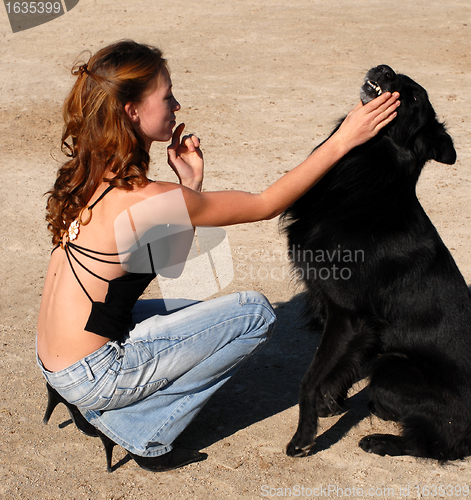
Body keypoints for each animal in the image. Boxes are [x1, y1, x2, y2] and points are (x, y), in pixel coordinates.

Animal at [282, 65, 471, 460]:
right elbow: (343, 367)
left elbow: (309, 379)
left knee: (441, 443)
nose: (384, 69)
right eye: (397, 75)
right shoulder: (356, 324)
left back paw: (381, 441)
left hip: (392, 369)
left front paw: (304, 437)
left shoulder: (347, 315)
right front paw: (331, 402)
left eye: (413, 97)